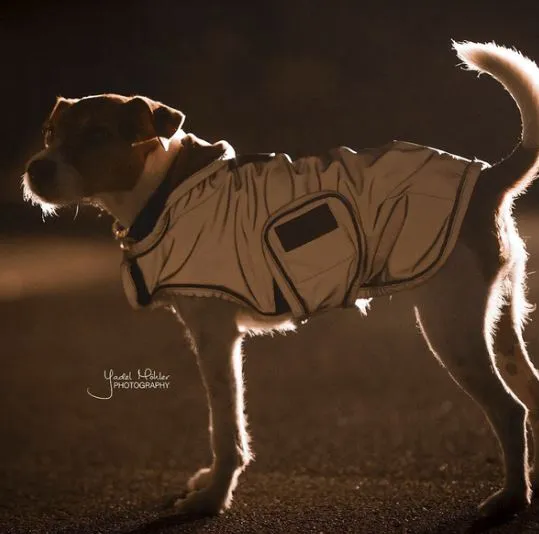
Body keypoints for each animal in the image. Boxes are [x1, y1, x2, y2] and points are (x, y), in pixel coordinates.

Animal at [20, 43, 539, 524]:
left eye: (97, 136)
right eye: (50, 134)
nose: (35, 169)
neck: (164, 190)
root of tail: (487, 178)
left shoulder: (215, 337)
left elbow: (225, 427)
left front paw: (213, 498)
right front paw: (211, 485)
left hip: (451, 328)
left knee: (510, 410)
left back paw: (511, 498)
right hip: (499, 319)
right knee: (529, 389)